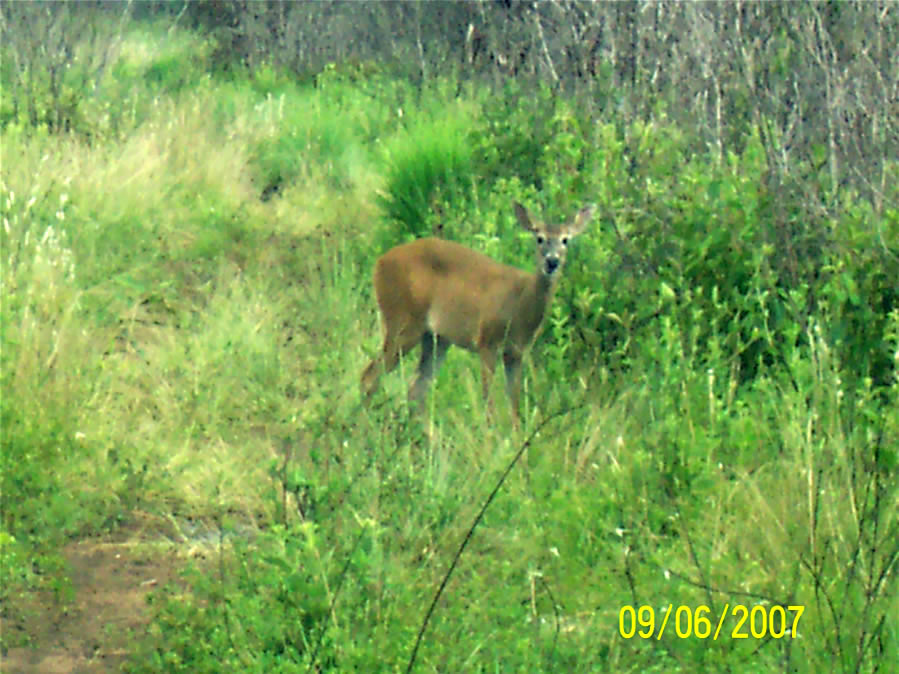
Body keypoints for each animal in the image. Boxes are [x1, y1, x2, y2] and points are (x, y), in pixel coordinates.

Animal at [360, 201, 594, 424]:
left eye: (565, 240)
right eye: (539, 238)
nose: (552, 261)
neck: (520, 303)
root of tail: (379, 263)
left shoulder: (516, 353)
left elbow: (514, 405)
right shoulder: (487, 341)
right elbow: (488, 402)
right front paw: (490, 435)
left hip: (436, 338)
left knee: (415, 389)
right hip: (402, 320)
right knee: (370, 377)